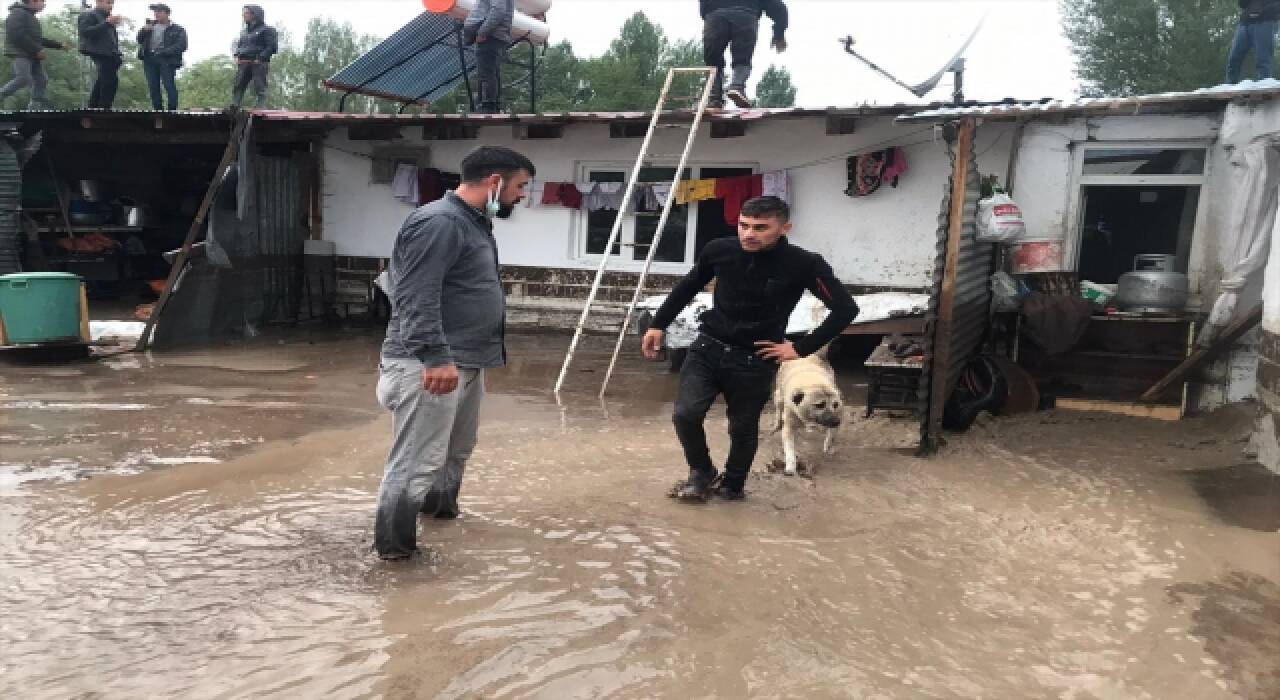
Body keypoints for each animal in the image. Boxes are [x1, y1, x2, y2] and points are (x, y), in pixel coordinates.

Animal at [768, 348, 839, 476]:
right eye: (820, 405)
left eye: (835, 405)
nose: (837, 422)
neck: (813, 382)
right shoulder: (789, 427)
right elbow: (790, 450)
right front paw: (790, 467)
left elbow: (831, 435)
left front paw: (828, 446)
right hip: (779, 397)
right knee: (778, 411)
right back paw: (776, 425)